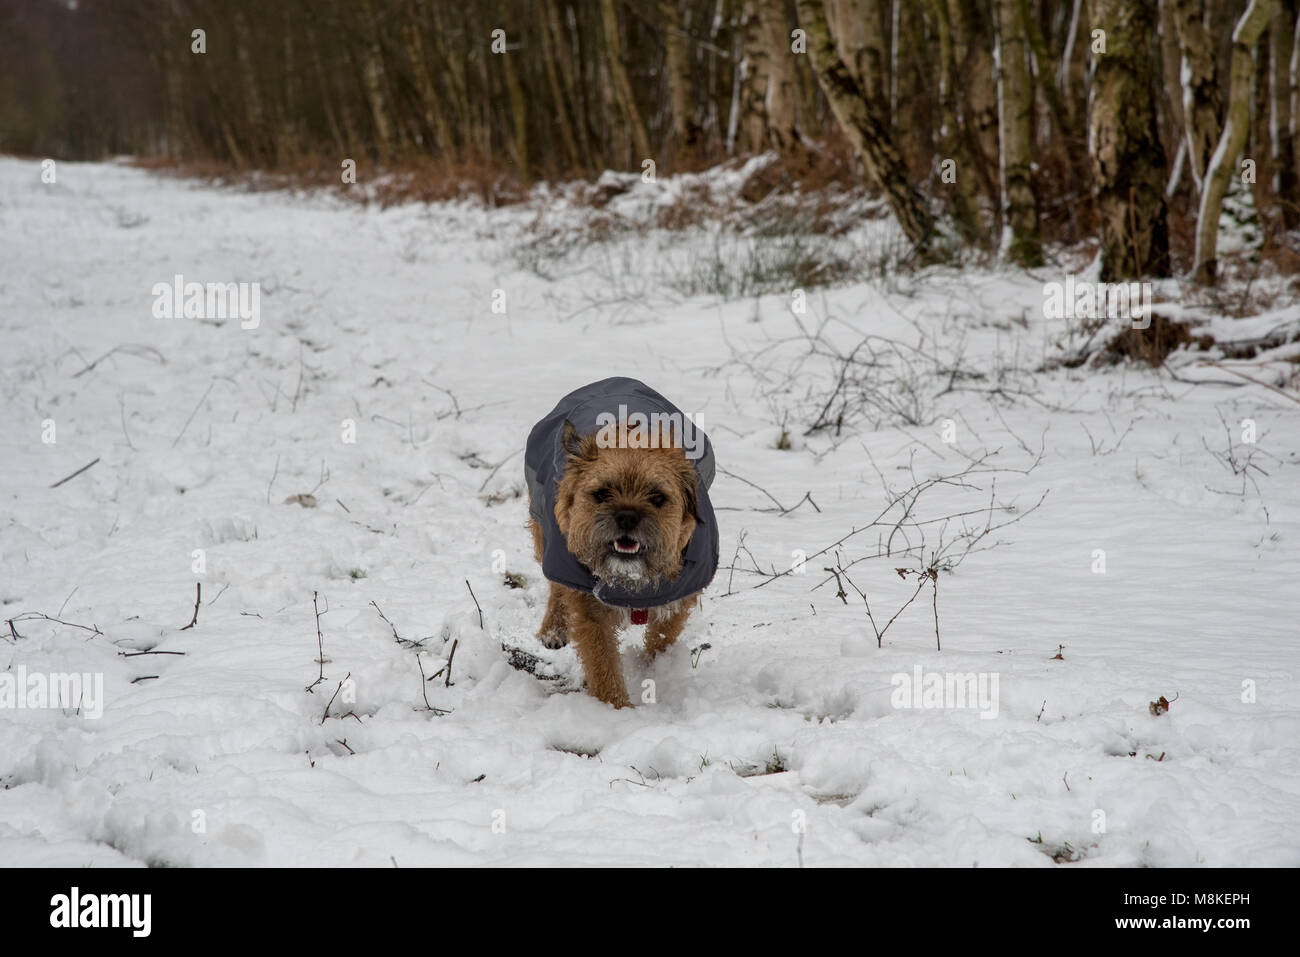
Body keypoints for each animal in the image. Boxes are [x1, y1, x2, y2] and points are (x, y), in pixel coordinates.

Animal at [522, 377, 722, 707]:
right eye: (602, 493)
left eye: (657, 497)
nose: (627, 516)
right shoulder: (587, 604)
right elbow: (602, 660)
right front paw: (616, 708)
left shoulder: (680, 593)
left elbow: (661, 638)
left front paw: (652, 671)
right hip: (544, 532)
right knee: (554, 584)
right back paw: (553, 628)